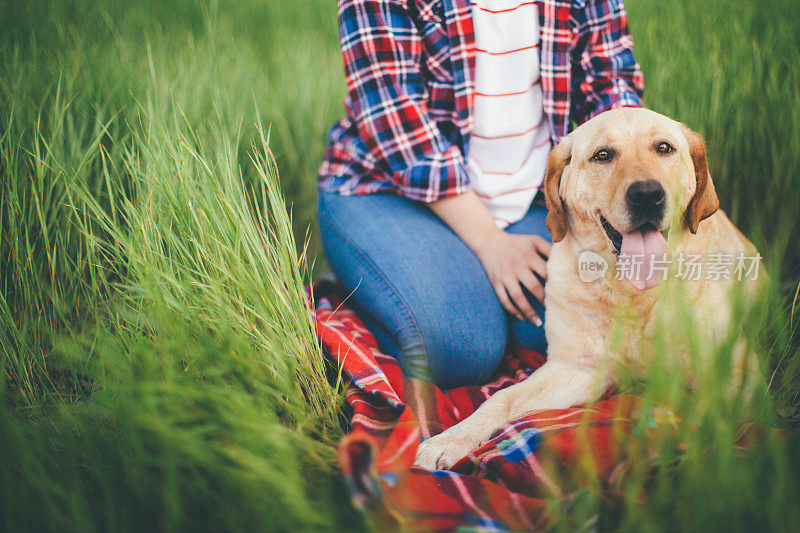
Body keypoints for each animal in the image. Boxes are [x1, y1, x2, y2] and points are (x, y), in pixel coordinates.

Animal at [412, 107, 764, 470]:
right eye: (603, 155)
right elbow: (503, 398)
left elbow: (706, 415)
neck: (632, 291)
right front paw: (450, 439)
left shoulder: (736, 374)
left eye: (664, 148)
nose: (647, 195)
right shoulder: (576, 369)